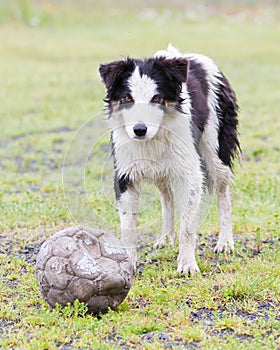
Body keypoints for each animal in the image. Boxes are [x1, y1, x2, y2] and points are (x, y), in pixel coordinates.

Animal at [99, 43, 241, 274]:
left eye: (156, 98)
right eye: (127, 99)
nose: (139, 130)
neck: (153, 138)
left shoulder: (190, 174)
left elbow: (187, 225)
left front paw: (187, 263)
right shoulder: (125, 174)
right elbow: (128, 226)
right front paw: (128, 263)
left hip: (215, 150)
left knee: (223, 194)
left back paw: (225, 242)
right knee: (167, 198)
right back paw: (166, 238)